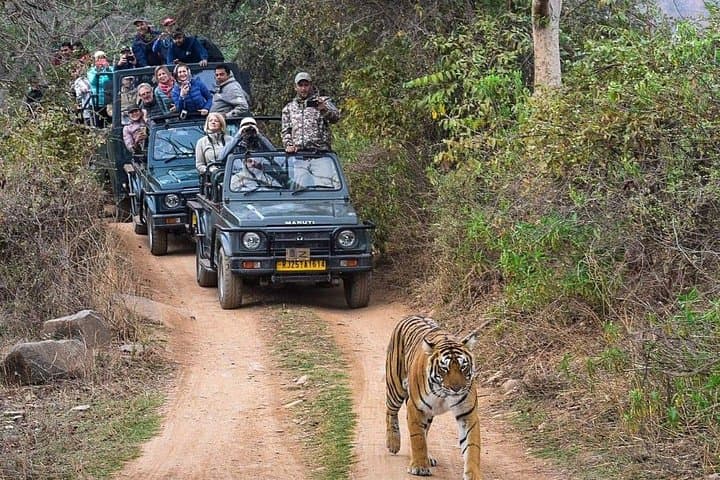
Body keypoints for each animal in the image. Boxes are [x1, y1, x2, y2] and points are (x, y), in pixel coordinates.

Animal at [385, 314, 482, 479]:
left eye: (463, 366)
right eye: (444, 368)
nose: (457, 388)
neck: (444, 394)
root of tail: (412, 315)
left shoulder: (467, 414)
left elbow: (472, 446)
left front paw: (473, 474)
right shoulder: (415, 407)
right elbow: (418, 438)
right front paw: (419, 467)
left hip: (428, 413)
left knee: (425, 430)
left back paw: (427, 457)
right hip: (395, 386)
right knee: (390, 412)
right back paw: (393, 443)